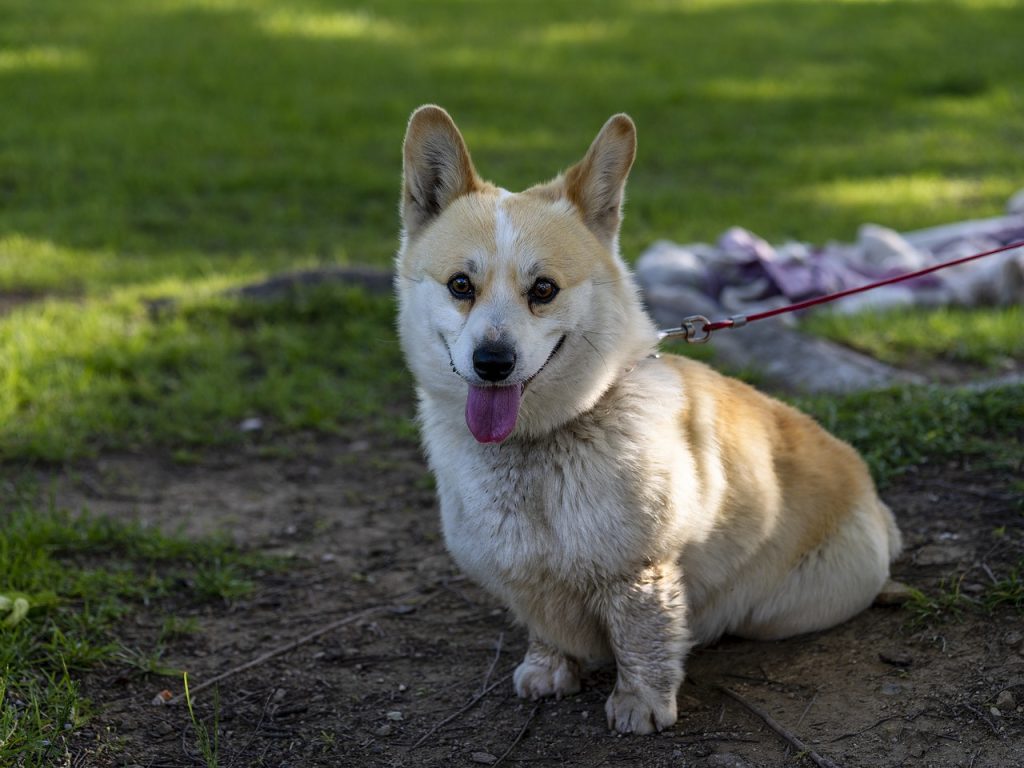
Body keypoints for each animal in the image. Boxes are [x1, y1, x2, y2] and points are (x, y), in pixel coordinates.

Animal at [395, 107, 901, 733]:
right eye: (460, 285)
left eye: (544, 289)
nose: (493, 363)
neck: (539, 444)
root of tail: (874, 500)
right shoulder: (522, 575)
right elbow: (543, 627)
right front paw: (548, 671)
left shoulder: (641, 571)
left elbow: (643, 639)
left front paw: (640, 708)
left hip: (783, 608)